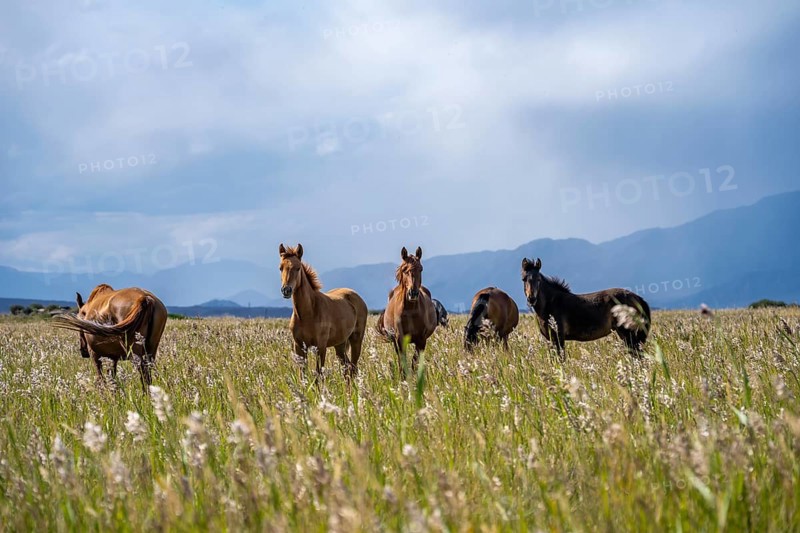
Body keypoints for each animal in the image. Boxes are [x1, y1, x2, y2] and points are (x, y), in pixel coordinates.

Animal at [279, 243, 368, 377]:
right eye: (280, 268)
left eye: (298, 268)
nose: (286, 290)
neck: (307, 313)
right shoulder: (299, 346)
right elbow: (303, 375)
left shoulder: (320, 347)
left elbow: (319, 374)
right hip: (340, 345)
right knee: (347, 368)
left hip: (356, 340)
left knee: (353, 368)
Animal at [521, 258, 651, 358]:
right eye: (524, 279)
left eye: (538, 279)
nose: (531, 299)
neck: (551, 303)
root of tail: (637, 297)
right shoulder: (550, 340)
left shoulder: (559, 338)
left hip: (629, 335)